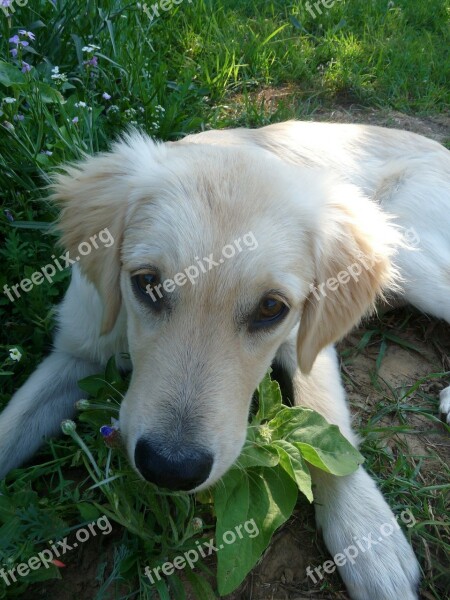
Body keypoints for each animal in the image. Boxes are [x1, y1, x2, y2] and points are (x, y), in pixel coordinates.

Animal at [0, 120, 450, 600]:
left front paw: (366, 538)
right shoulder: (75, 350)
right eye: (147, 284)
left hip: (414, 258)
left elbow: (324, 422)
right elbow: (11, 426)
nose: (171, 469)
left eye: (271, 308)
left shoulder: (306, 342)